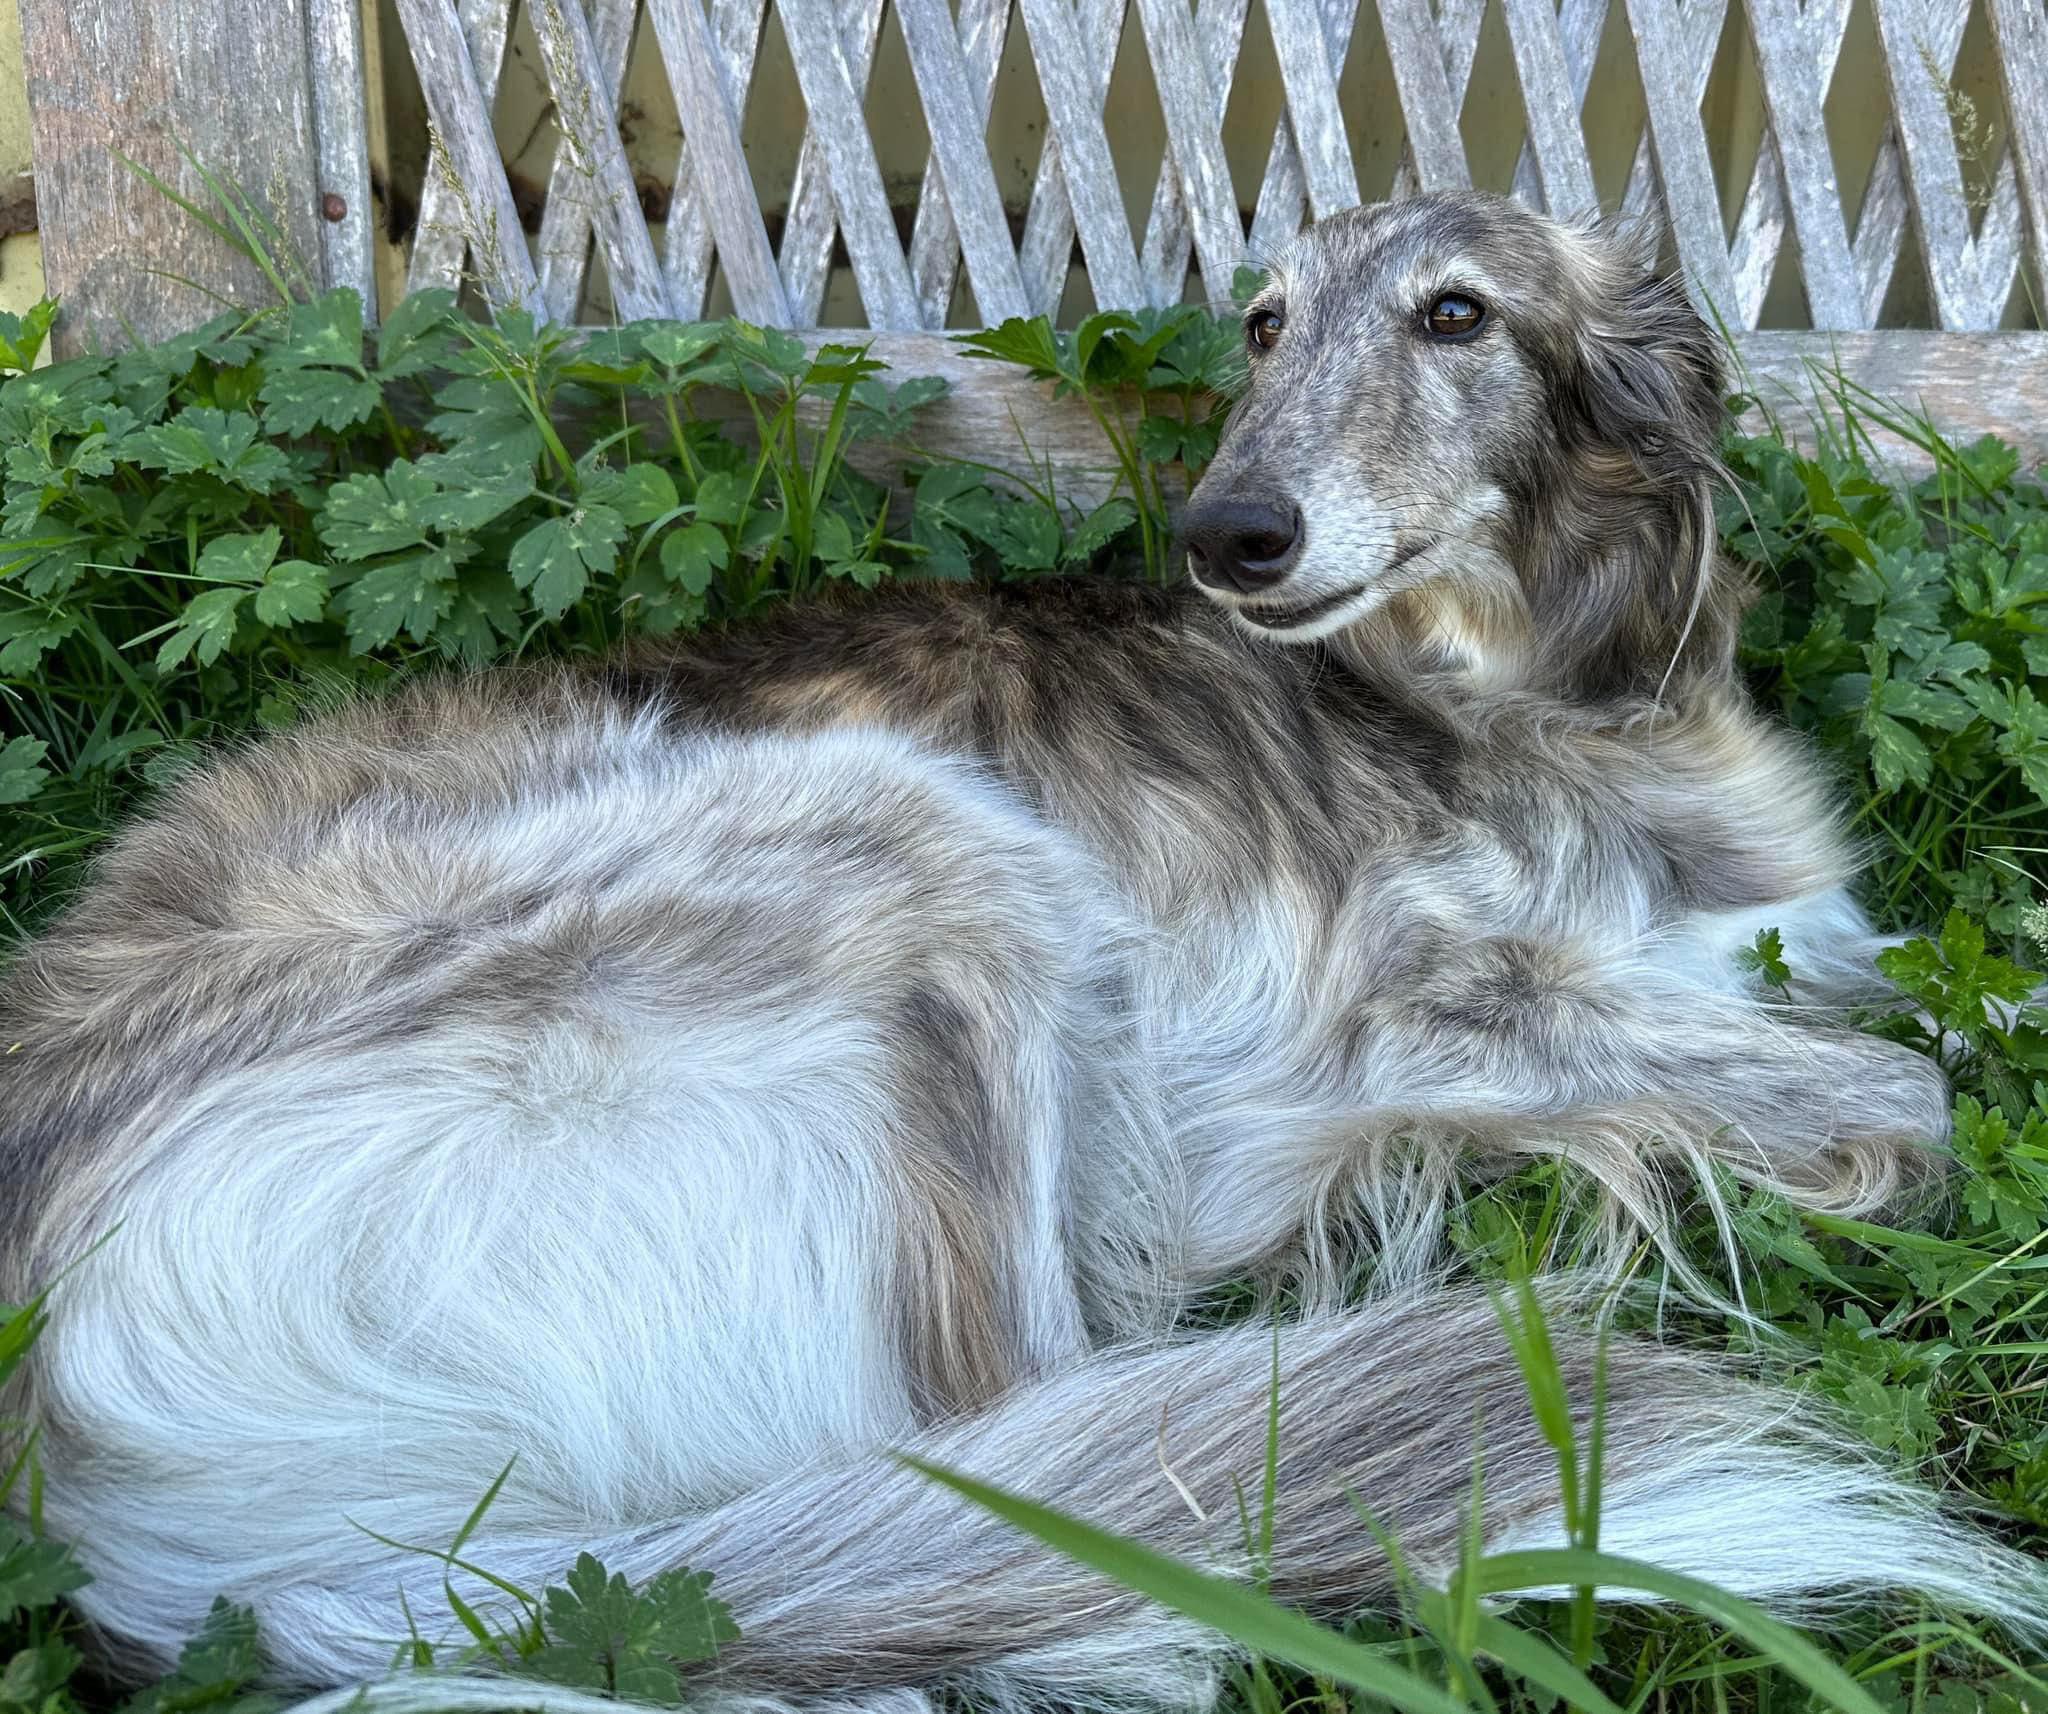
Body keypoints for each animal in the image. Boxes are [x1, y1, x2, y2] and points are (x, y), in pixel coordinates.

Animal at [2, 192, 2042, 1711]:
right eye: (1261, 325)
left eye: (1455, 315)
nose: (1229, 532)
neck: (1523, 682)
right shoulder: (1430, 1001)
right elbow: (1911, 1088)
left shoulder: (1765, 943)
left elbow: (1950, 997)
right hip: (924, 853)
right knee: (1033, 1516)